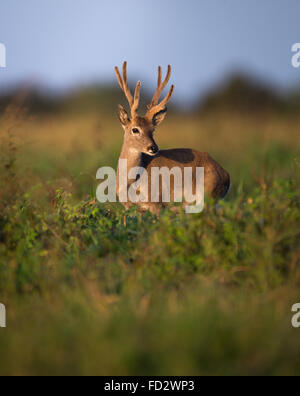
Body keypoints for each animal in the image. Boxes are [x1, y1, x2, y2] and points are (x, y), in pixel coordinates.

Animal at [114, 62, 230, 215]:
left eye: (153, 129)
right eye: (135, 129)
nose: (153, 148)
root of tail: (226, 175)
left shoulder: (157, 203)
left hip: (206, 196)